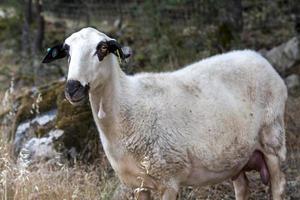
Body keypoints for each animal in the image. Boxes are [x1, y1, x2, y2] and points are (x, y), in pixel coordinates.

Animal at [42, 27, 288, 199]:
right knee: (243, 187)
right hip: (236, 156)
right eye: (67, 52)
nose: (72, 88)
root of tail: (257, 57)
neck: (126, 104)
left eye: (102, 49)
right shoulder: (137, 184)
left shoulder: (168, 179)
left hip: (273, 139)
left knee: (278, 187)